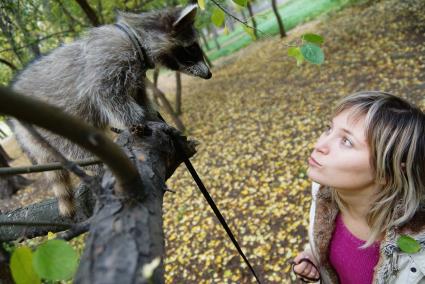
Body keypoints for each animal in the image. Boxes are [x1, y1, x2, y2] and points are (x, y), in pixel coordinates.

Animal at [8, 4, 210, 216]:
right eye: (192, 48)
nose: (209, 74)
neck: (134, 36)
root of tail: (18, 128)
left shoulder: (136, 77)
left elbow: (141, 99)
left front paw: (153, 119)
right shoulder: (108, 62)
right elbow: (109, 98)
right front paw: (140, 121)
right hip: (50, 127)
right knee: (77, 147)